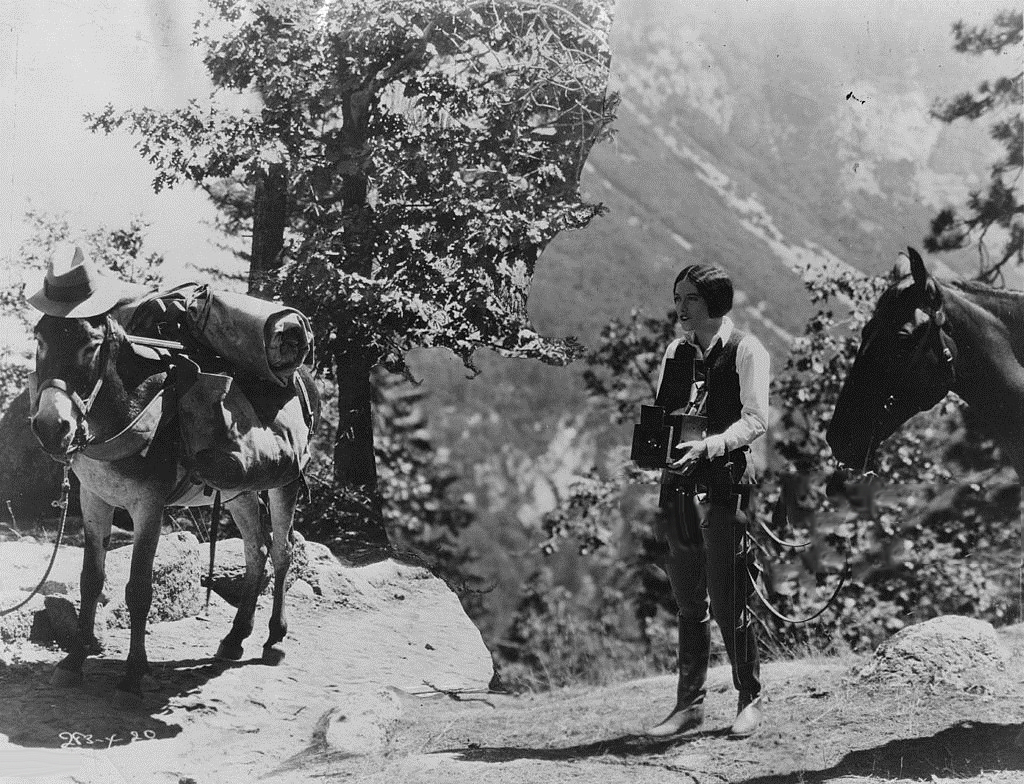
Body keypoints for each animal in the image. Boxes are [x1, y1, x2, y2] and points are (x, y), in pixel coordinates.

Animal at [30, 313, 319, 695]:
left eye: (90, 347)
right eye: (39, 341)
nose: (51, 428)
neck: (124, 415)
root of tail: (304, 377)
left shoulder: (148, 505)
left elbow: (139, 589)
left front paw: (134, 674)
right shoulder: (93, 498)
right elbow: (90, 580)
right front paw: (73, 661)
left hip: (283, 482)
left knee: (283, 552)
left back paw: (274, 640)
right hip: (240, 488)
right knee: (256, 551)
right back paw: (235, 638)